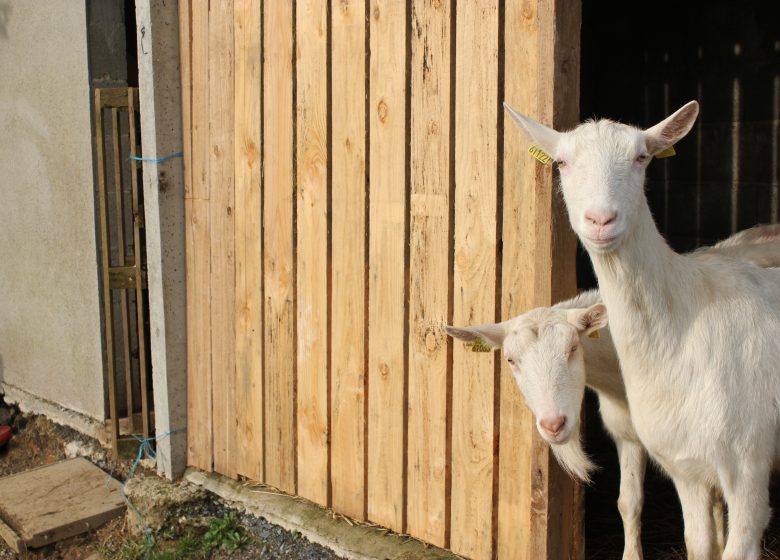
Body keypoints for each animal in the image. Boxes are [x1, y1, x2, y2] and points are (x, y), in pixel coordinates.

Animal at [502, 100, 780, 560]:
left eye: (641, 157)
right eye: (561, 162)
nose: (600, 219)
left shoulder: (749, 466)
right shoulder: (684, 465)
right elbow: (695, 543)